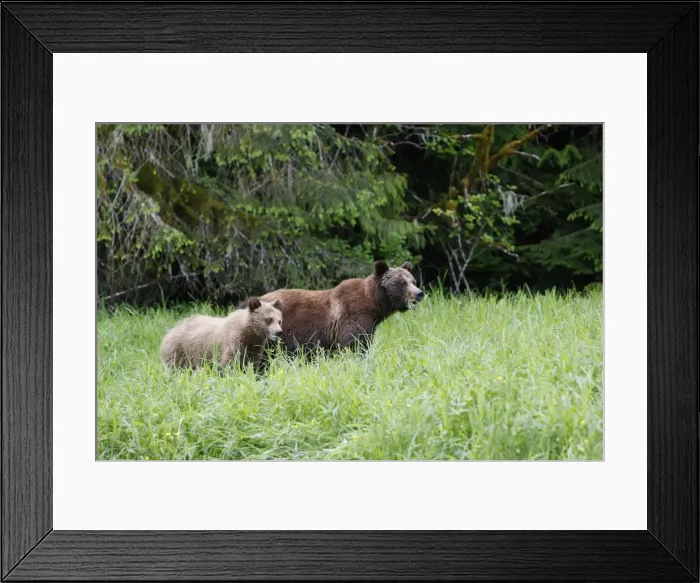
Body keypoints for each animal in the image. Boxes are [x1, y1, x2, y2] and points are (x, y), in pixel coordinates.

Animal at [252, 261, 423, 353]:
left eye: (413, 281)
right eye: (402, 282)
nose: (419, 293)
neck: (374, 305)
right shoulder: (353, 318)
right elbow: (353, 344)